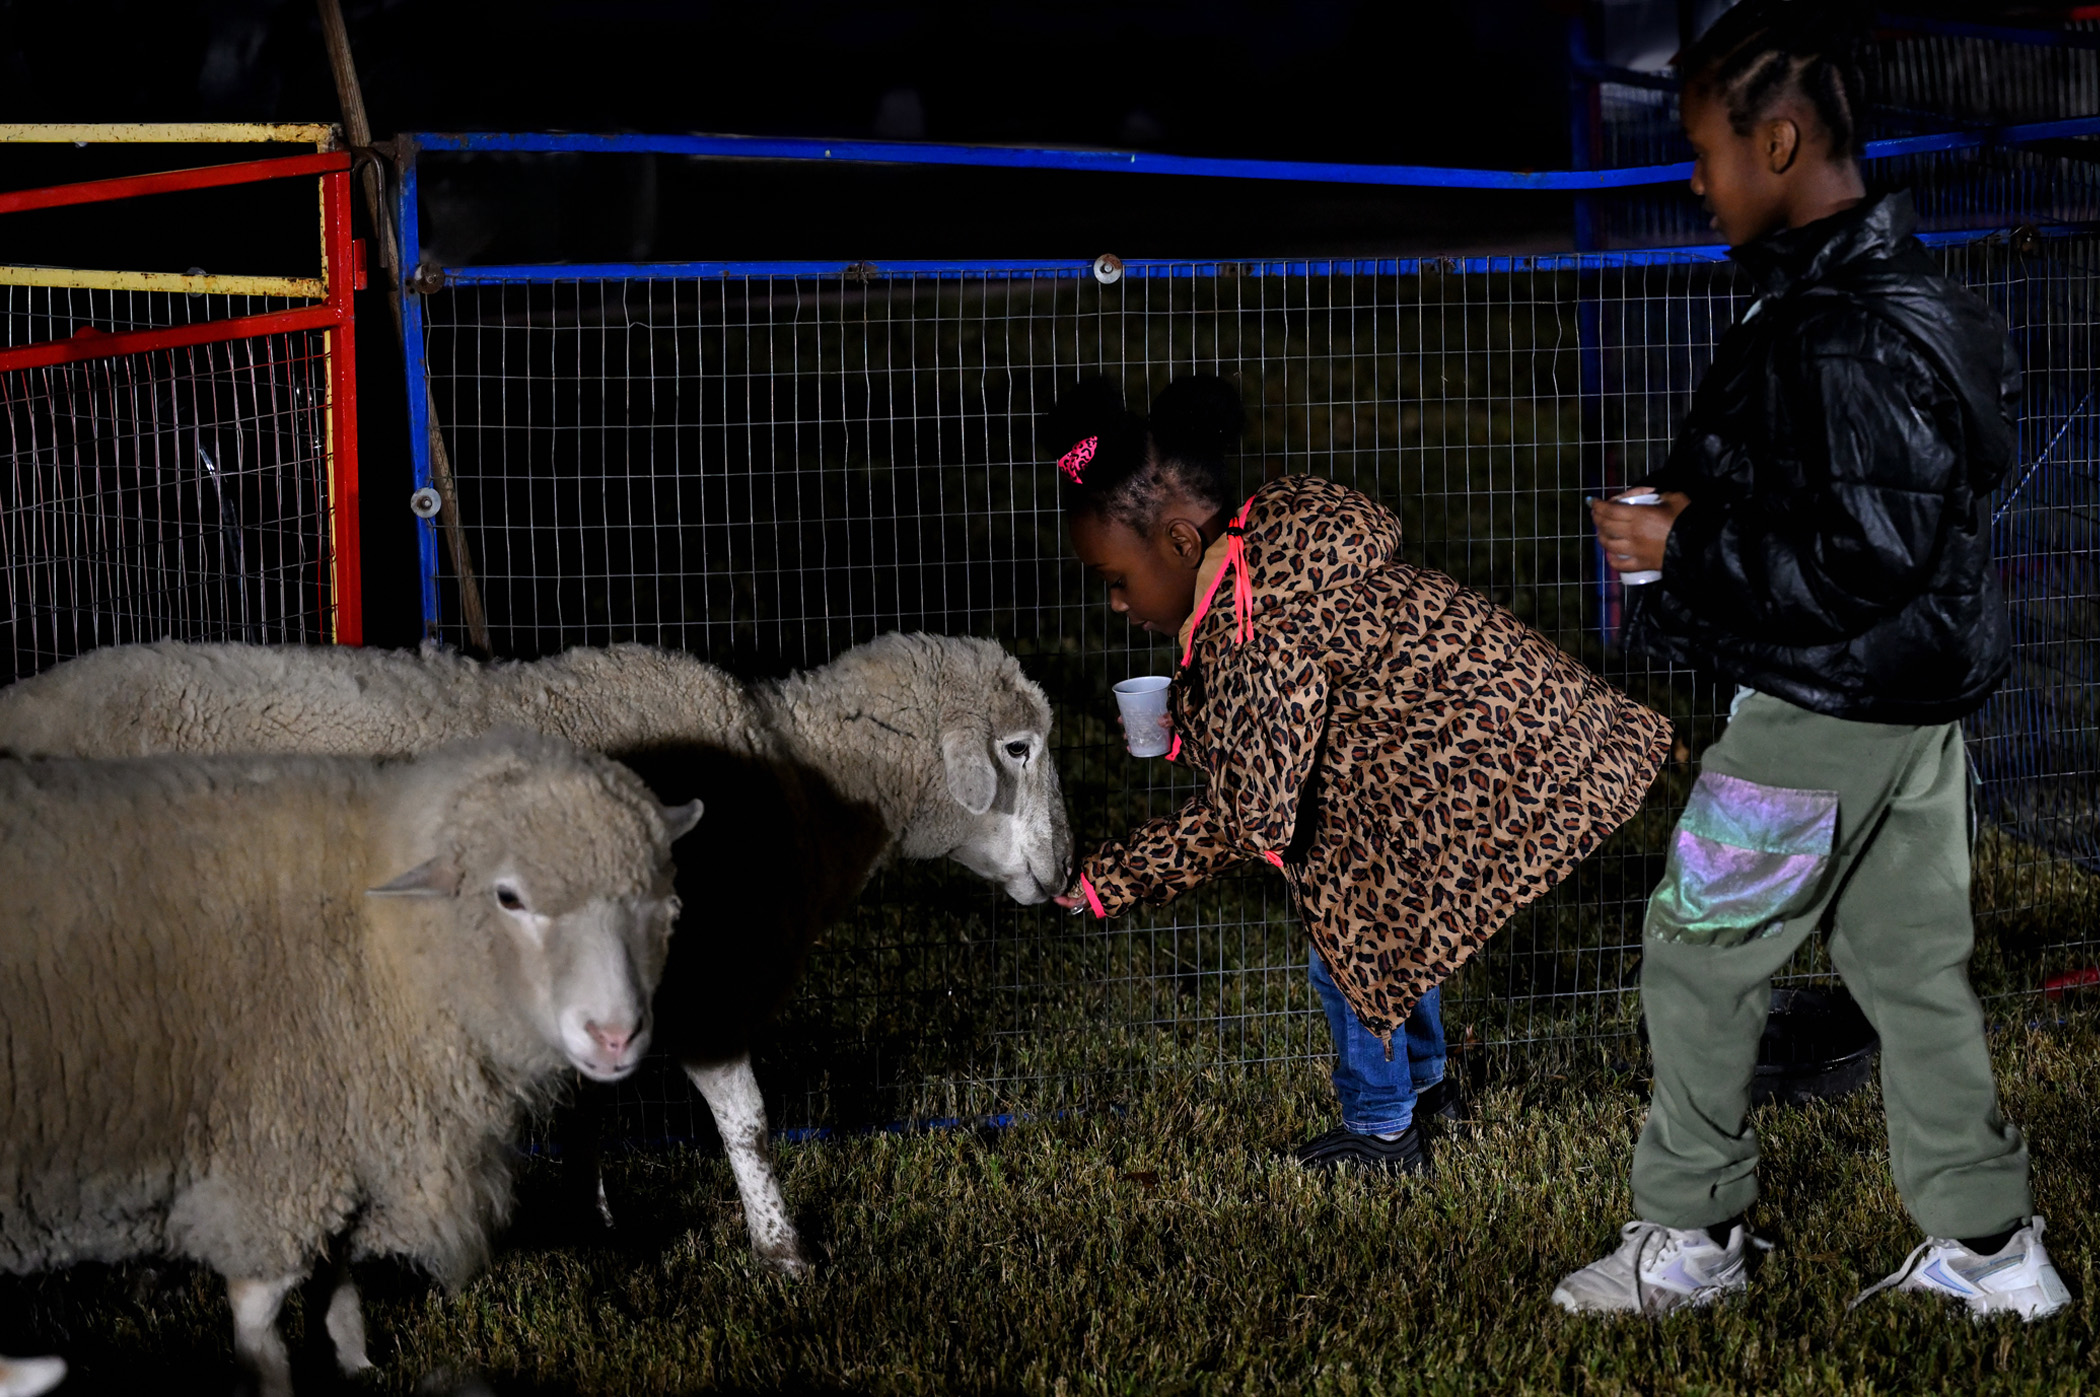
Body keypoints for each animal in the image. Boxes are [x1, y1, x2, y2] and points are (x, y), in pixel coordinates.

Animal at [0, 632, 1073, 1275]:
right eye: (1017, 748)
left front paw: (595, 1220)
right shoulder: (711, 983)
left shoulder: (612, 989)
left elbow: (592, 1109)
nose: (1066, 869)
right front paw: (784, 1254)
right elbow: (751, 1125)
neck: (808, 788)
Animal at [0, 734, 700, 1397]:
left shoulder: (336, 1135)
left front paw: (356, 1361)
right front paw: (277, 1380)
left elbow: (336, 1277)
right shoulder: (272, 1162)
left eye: (656, 898)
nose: (616, 1036)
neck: (384, 944)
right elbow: (260, 1322)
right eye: (508, 897)